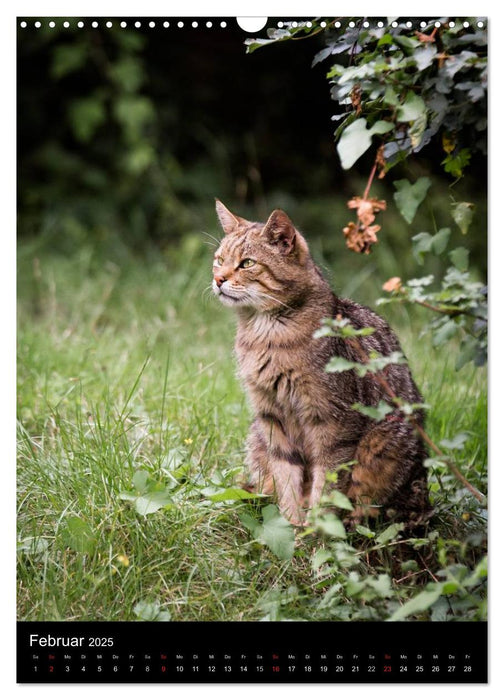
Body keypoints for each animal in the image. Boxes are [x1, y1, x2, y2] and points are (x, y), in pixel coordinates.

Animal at [212, 200, 430, 528]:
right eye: (219, 260)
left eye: (247, 263)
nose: (218, 279)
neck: (266, 337)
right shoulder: (272, 418)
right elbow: (287, 481)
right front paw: (291, 526)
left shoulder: (333, 425)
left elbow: (326, 490)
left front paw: (314, 532)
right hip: (257, 436)